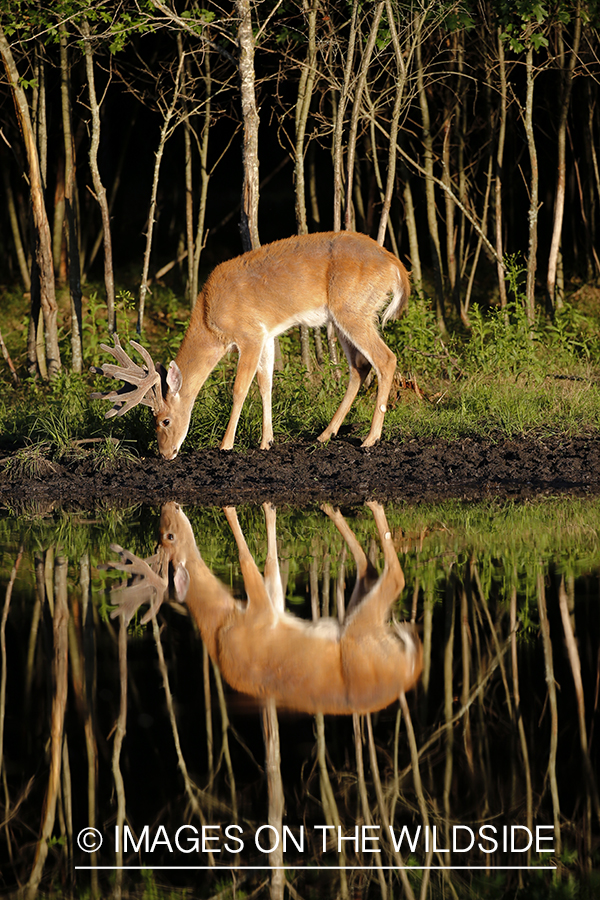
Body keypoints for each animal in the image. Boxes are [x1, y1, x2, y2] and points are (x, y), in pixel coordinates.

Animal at [91, 232, 410, 458]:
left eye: (164, 421)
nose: (165, 454)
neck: (209, 318)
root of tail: (396, 267)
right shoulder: (266, 335)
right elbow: (265, 384)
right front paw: (266, 441)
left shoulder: (249, 334)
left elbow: (240, 388)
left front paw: (226, 444)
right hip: (343, 316)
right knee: (359, 367)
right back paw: (324, 435)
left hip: (353, 309)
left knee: (386, 359)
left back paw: (370, 438)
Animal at [108, 500, 424, 716]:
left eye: (168, 536)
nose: (168, 505)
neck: (221, 624)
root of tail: (412, 668)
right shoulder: (268, 609)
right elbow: (270, 565)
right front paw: (270, 512)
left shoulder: (258, 614)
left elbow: (247, 559)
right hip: (359, 622)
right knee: (373, 571)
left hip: (360, 634)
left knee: (395, 577)